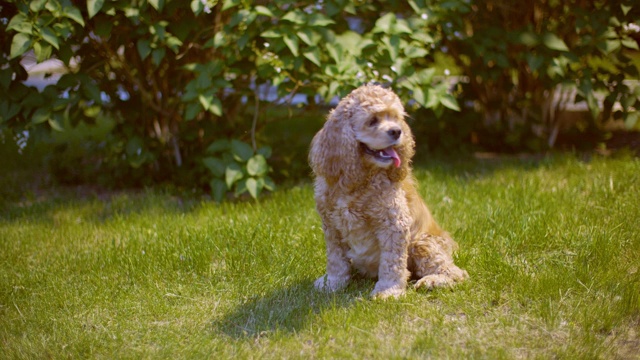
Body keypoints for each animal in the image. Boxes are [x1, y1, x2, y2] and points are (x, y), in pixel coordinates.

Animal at [308, 83, 468, 298]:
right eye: (372, 120)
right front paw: (332, 283)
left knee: (456, 273)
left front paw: (388, 290)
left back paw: (431, 281)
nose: (397, 131)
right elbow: (336, 260)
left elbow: (392, 263)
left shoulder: (393, 223)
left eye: (396, 118)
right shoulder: (332, 226)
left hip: (422, 244)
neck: (359, 180)